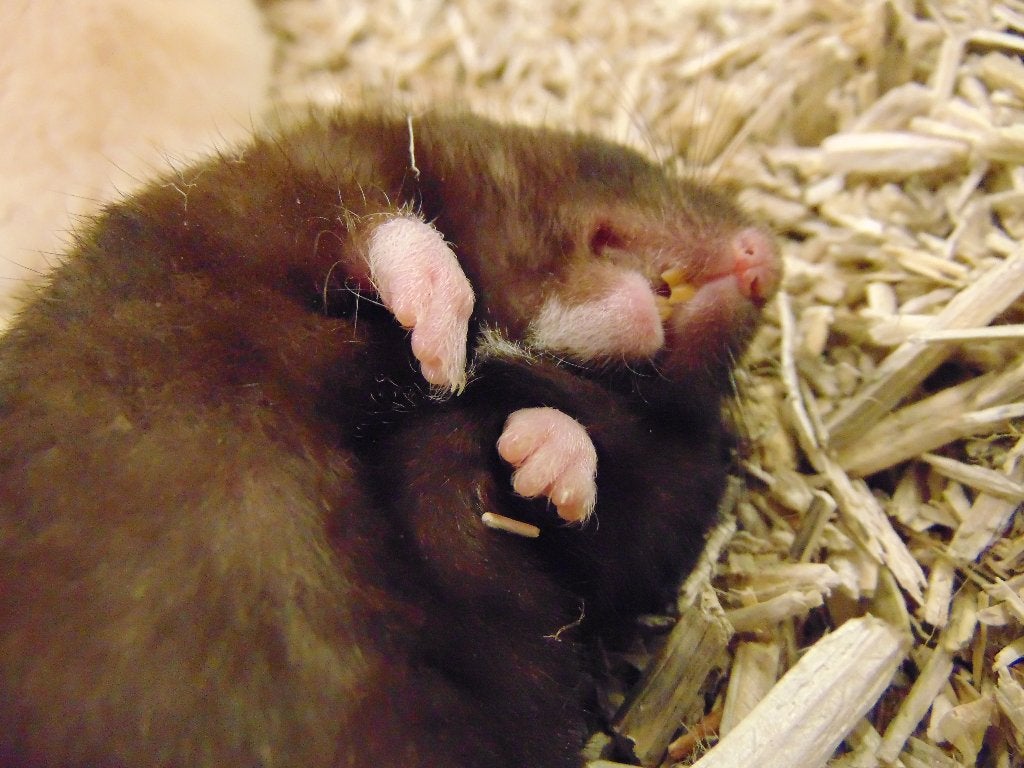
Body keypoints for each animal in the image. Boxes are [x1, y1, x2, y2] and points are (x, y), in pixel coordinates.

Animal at [0, 110, 780, 767]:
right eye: (624, 156)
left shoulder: (650, 514)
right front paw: (441, 352)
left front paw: (531, 454)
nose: (766, 259)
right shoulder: (271, 190)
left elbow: (595, 497)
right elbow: (390, 230)